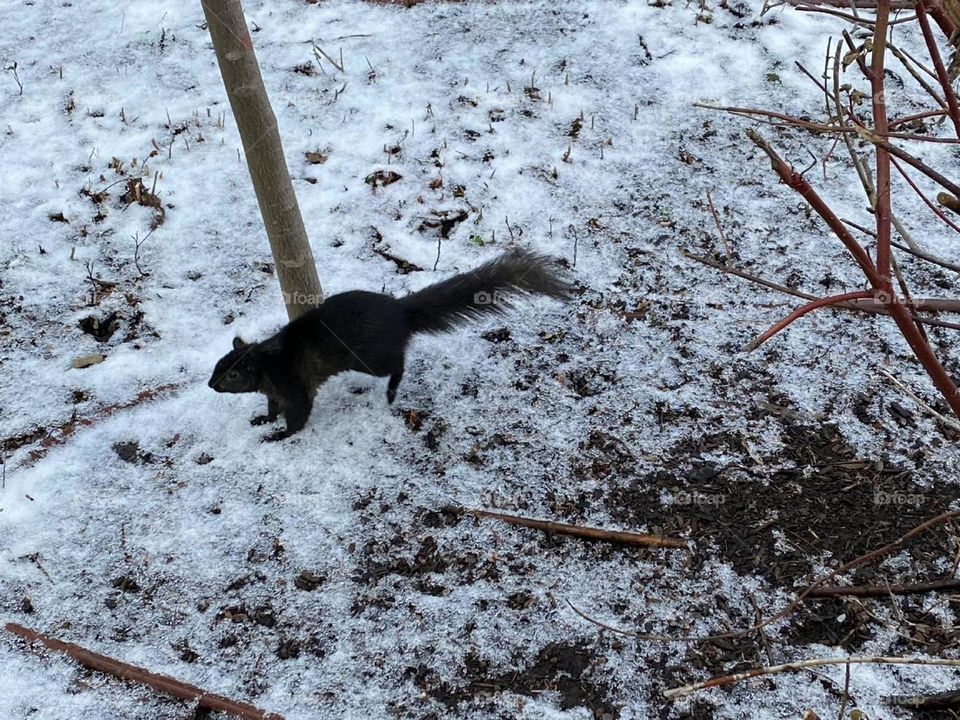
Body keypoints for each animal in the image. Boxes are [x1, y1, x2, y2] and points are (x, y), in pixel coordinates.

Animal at [208, 249, 571, 441]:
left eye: (233, 374)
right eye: (217, 365)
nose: (211, 385)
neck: (267, 364)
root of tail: (400, 312)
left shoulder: (294, 386)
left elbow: (298, 415)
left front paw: (280, 435)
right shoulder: (274, 391)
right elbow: (273, 408)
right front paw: (263, 421)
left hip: (370, 358)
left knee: (398, 363)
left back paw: (393, 391)